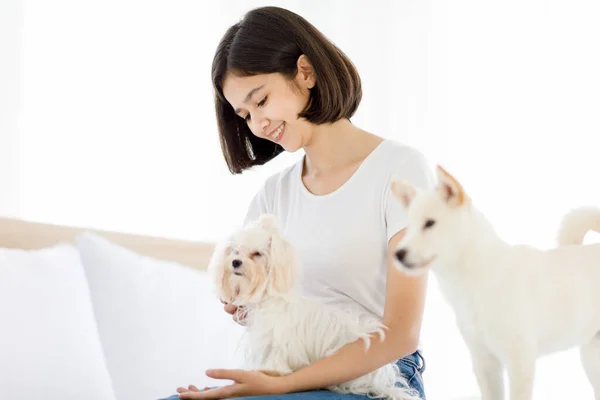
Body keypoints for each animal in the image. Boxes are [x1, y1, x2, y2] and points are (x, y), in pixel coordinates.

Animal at [209, 214, 424, 400]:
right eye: (235, 251)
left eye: (257, 254)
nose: (235, 262)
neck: (269, 297)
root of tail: (384, 378)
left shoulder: (278, 342)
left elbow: (275, 361)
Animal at [390, 166, 600, 400]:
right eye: (409, 228)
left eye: (429, 223)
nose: (398, 254)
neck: (474, 282)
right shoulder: (484, 362)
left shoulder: (520, 363)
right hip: (591, 358)